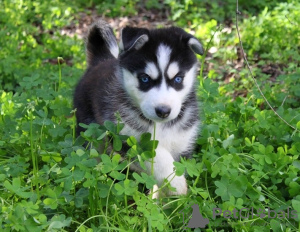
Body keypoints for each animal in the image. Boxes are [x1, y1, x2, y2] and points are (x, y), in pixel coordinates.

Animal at [74, 20, 203, 197]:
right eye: (145, 79)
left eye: (178, 79)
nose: (163, 111)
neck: (159, 126)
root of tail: (101, 60)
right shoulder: (127, 136)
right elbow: (158, 156)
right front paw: (176, 183)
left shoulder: (182, 142)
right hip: (88, 131)